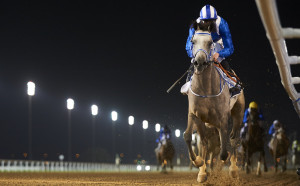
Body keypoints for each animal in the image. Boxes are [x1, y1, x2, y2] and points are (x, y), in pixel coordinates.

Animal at [183, 24, 244, 182]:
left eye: (210, 42)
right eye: (193, 41)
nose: (199, 62)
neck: (206, 89)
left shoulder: (223, 118)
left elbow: (224, 149)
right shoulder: (195, 114)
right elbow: (190, 137)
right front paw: (199, 165)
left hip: (238, 113)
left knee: (234, 140)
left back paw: (233, 170)